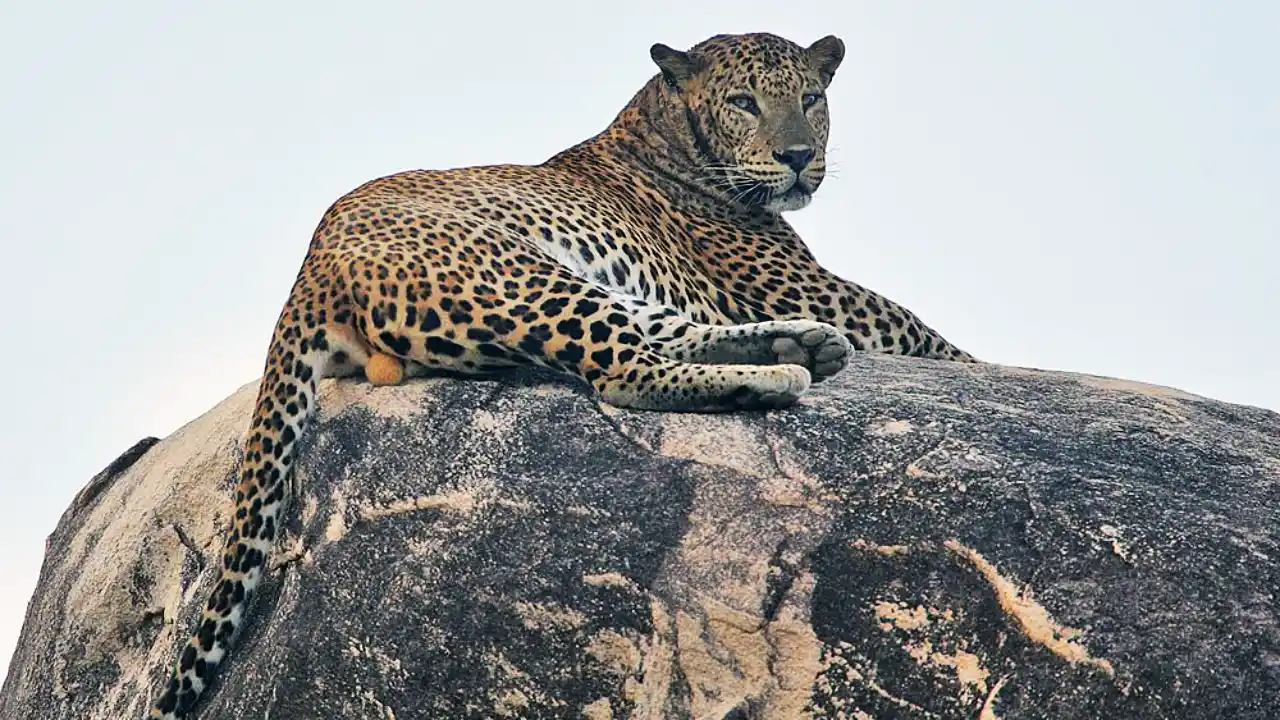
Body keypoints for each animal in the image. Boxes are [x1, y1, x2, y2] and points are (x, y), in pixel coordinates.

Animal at [148, 31, 976, 718]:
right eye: (744, 101)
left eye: (811, 97)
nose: (800, 155)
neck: (658, 132)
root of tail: (309, 270)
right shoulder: (821, 291)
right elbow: (934, 337)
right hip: (522, 274)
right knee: (622, 369)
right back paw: (775, 378)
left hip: (585, 285)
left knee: (664, 333)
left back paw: (797, 349)